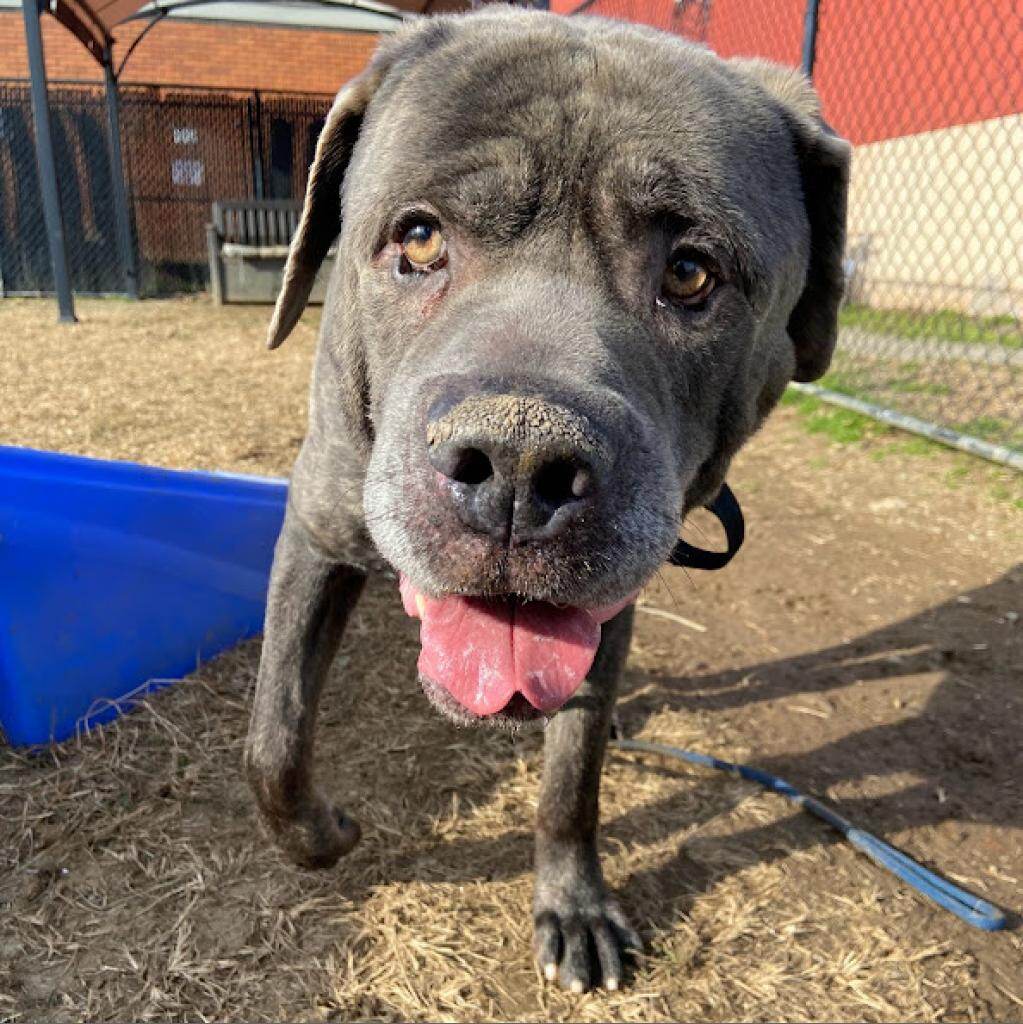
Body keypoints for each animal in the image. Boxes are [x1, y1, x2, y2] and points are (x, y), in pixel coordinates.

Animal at [245, 8, 847, 995]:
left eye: (690, 272)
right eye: (418, 239)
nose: (519, 463)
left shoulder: (609, 608)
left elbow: (573, 776)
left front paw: (574, 905)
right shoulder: (317, 530)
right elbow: (275, 738)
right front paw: (324, 834)